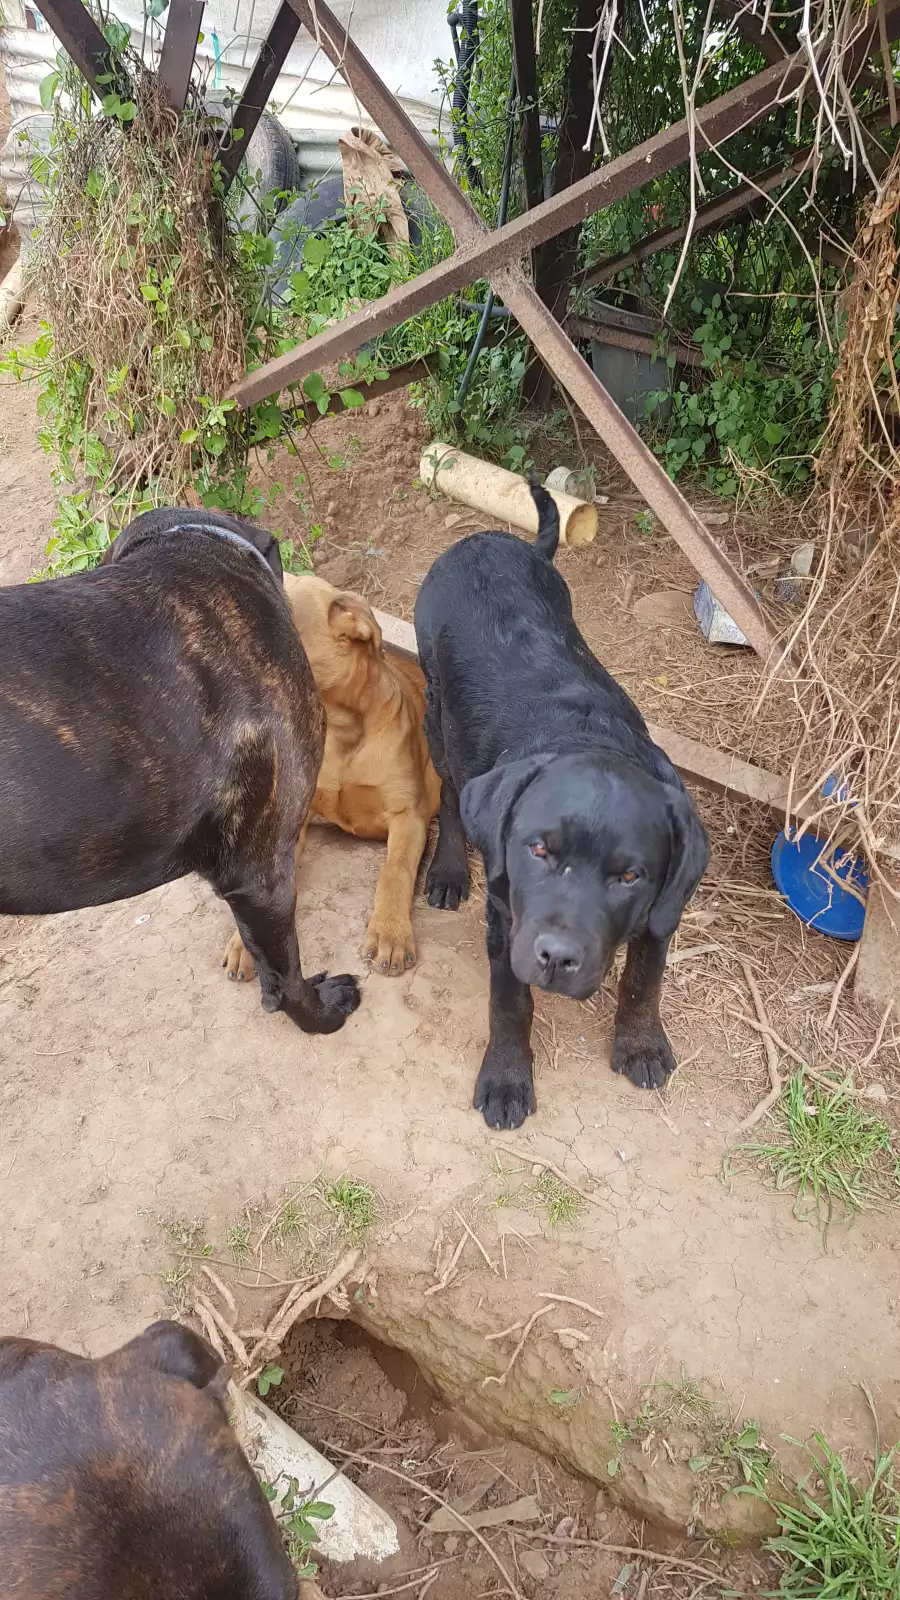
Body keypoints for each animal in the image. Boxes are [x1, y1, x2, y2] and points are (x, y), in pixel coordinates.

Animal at [414, 482, 709, 1130]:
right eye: (538, 850)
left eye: (630, 877)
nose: (557, 957)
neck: (587, 736)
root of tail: (489, 538)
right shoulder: (508, 921)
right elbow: (509, 1003)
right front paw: (506, 1078)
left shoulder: (663, 905)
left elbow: (644, 978)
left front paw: (640, 1043)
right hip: (437, 713)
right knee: (447, 789)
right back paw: (448, 868)